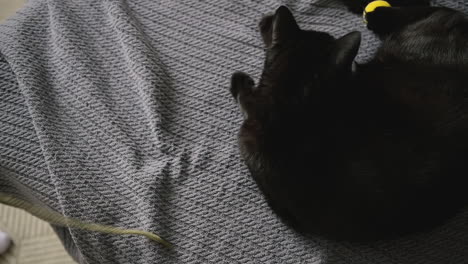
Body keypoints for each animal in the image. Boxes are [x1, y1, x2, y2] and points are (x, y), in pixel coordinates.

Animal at [229, 3, 468, 241]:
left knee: (435, 11)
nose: (268, 17)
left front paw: (239, 79)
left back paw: (377, 16)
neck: (292, 102)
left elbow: (244, 98)